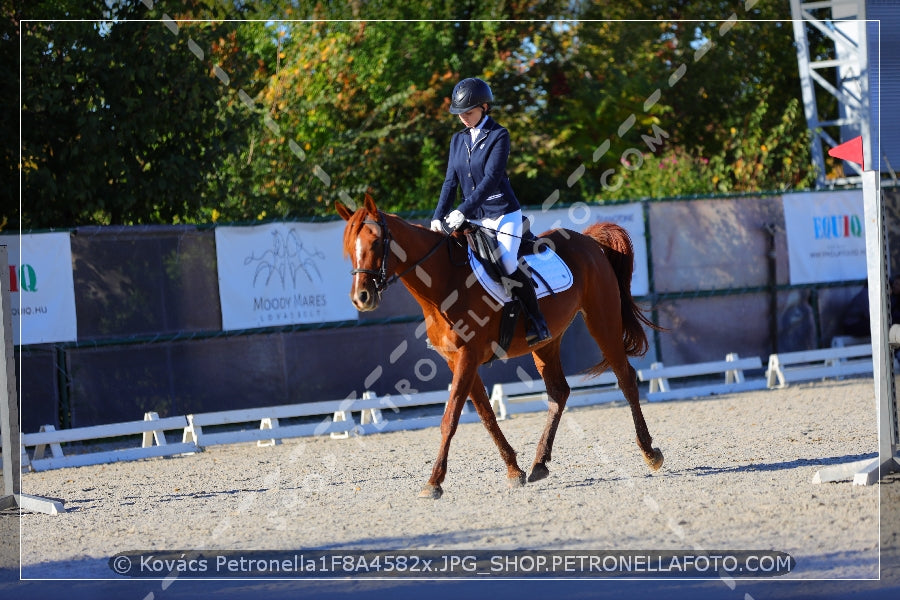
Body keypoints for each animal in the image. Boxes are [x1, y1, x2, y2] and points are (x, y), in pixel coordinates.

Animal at [338, 196, 660, 496]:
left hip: (602, 321)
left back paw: (650, 452)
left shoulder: (467, 356)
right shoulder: (457, 360)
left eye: (376, 242)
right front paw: (513, 470)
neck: (444, 282)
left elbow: (450, 418)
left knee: (626, 378)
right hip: (547, 341)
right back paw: (539, 463)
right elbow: (486, 416)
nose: (361, 298)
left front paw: (433, 482)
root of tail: (588, 240)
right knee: (559, 392)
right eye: (349, 248)